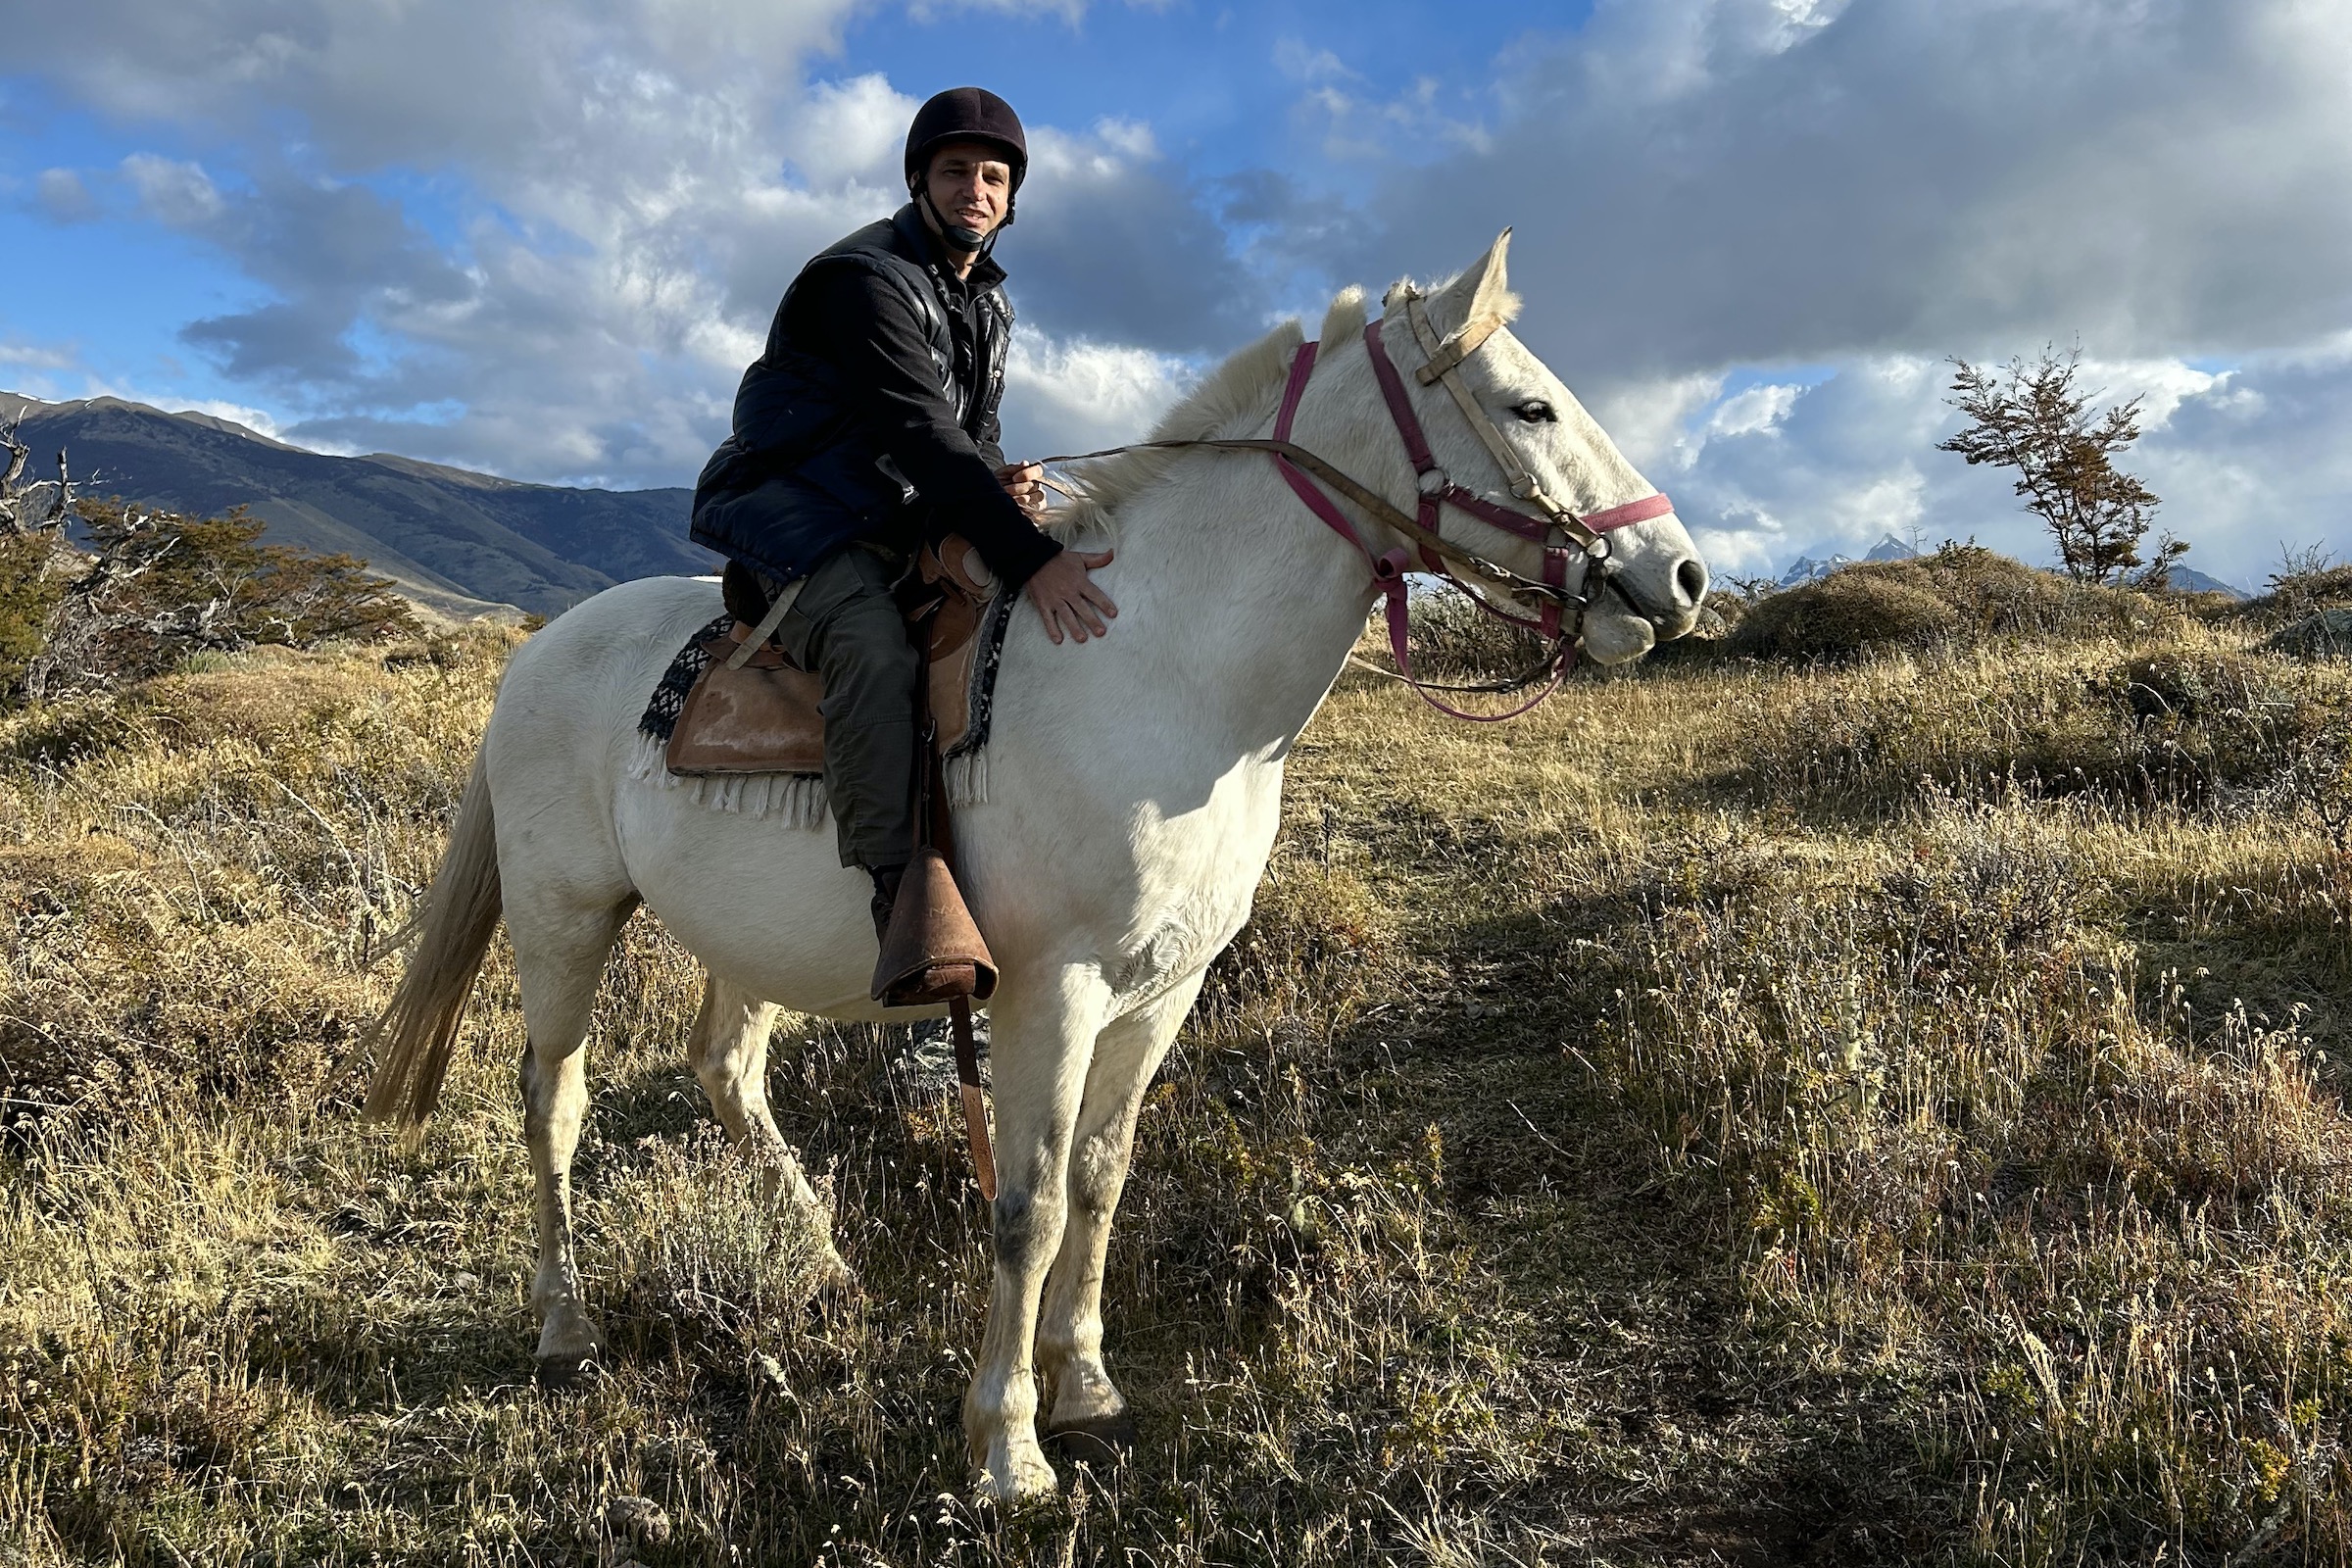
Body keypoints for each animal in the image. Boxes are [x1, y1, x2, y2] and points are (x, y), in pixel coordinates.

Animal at [360, 231, 1710, 1501]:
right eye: (1530, 407)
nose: (1680, 576)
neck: (1167, 669)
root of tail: (537, 656)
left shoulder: (1163, 989)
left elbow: (1102, 1182)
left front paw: (1086, 1381)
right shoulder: (1050, 992)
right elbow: (1032, 1201)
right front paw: (1008, 1444)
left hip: (742, 941)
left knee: (726, 1070)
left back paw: (823, 1260)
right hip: (564, 917)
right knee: (554, 1098)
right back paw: (565, 1322)